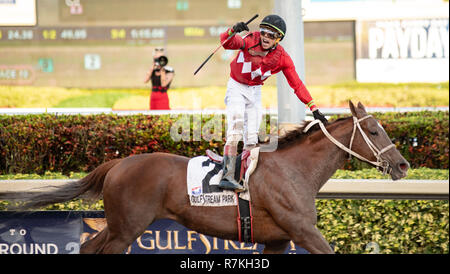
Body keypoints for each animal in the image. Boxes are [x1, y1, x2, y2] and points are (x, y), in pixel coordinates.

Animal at [2, 101, 412, 255]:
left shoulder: (278, 238)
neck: (294, 171)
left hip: (120, 225)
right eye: (373, 131)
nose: (403, 165)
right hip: (126, 228)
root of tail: (116, 166)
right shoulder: (303, 230)